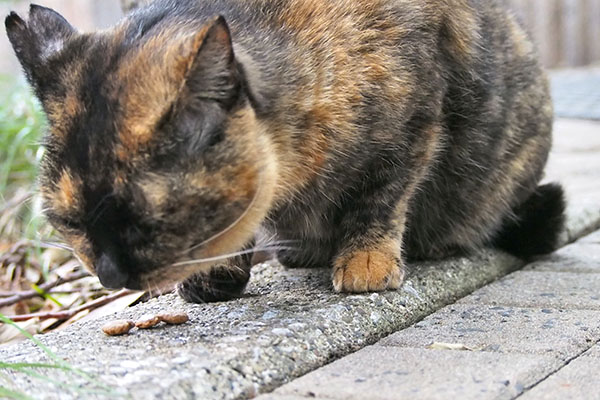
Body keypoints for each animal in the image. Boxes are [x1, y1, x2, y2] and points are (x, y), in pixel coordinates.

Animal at [7, 0, 564, 304]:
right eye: (69, 222)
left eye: (148, 220)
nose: (109, 275)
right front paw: (219, 273)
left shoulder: (419, 114)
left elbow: (381, 194)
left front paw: (366, 261)